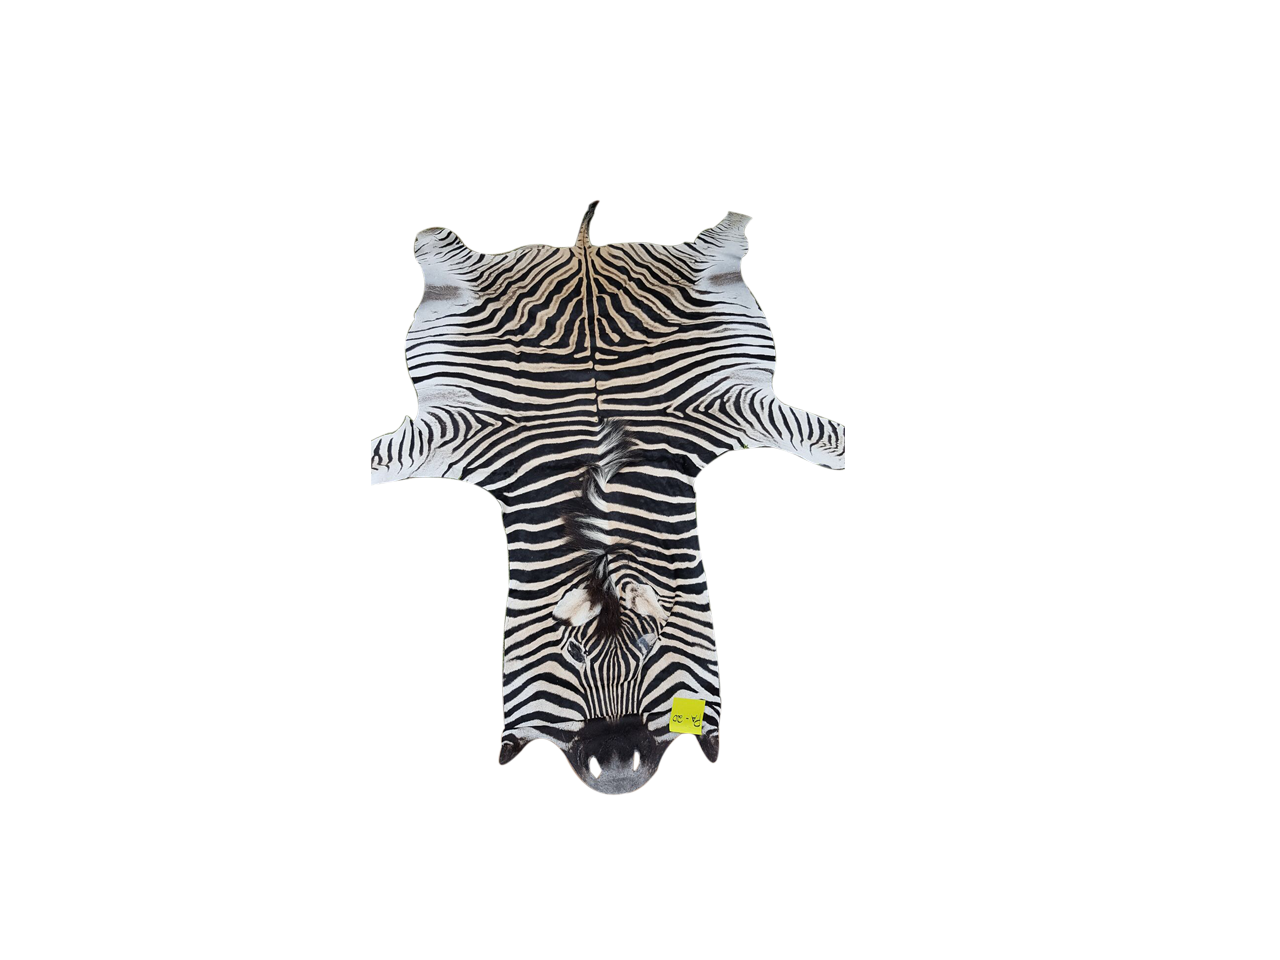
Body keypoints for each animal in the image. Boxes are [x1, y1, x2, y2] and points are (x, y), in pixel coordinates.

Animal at [370, 202, 844, 794]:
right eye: (571, 653)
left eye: (650, 645)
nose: (617, 770)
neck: (603, 504)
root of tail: (584, 249)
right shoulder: (455, 433)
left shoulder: (732, 410)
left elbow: (827, 440)